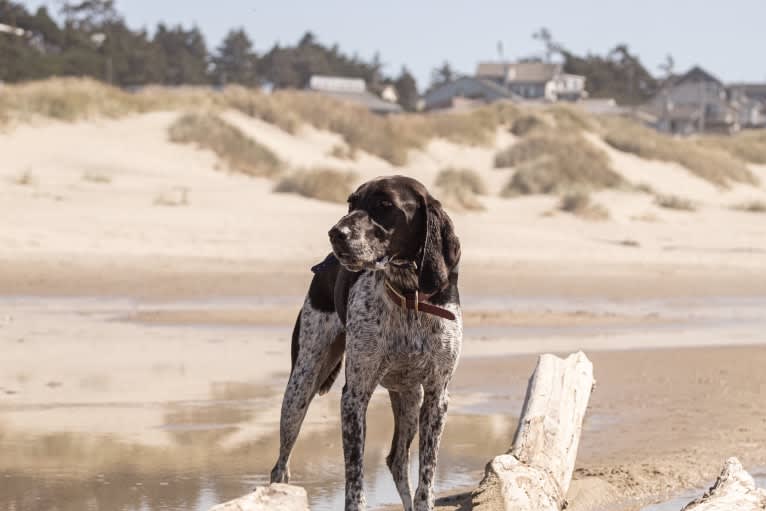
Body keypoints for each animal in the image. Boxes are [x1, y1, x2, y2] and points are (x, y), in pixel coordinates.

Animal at [270, 174, 462, 510]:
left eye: (385, 205)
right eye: (351, 203)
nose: (336, 233)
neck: (408, 296)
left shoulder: (437, 396)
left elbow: (426, 478)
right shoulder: (355, 395)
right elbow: (355, 481)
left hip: (410, 399)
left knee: (397, 460)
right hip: (300, 387)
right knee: (281, 467)